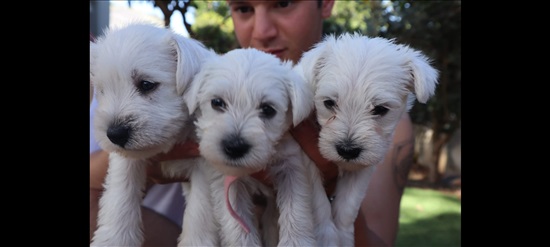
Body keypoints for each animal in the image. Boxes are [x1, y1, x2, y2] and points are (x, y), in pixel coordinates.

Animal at [89, 22, 217, 246]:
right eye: (102, 91)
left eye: (146, 84)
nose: (114, 134)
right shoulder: (126, 159)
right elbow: (120, 193)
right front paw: (113, 238)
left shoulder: (205, 163)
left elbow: (201, 208)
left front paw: (196, 241)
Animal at [185, 47, 324, 246]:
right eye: (217, 103)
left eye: (267, 109)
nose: (234, 147)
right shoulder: (227, 182)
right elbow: (237, 228)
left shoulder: (291, 167)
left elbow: (296, 210)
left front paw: (296, 242)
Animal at [298, 32, 440, 247]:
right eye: (329, 103)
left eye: (380, 109)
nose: (347, 150)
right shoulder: (306, 160)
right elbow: (319, 202)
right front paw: (327, 238)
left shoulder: (363, 167)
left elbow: (348, 207)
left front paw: (344, 238)